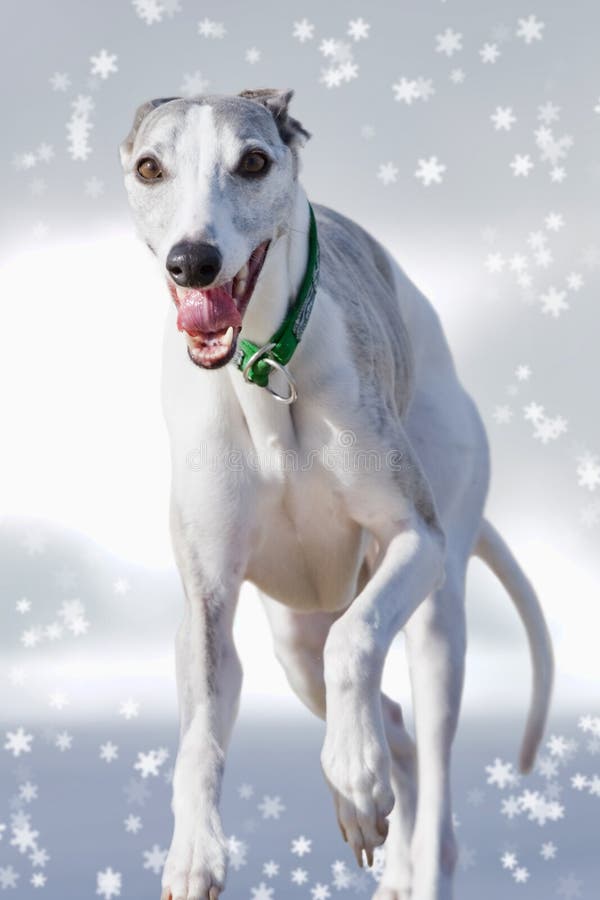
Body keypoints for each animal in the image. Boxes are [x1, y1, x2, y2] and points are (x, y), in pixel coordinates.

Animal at [119, 86, 556, 900]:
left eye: (253, 162)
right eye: (150, 167)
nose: (193, 262)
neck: (264, 371)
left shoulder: (417, 538)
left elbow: (355, 642)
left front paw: (353, 773)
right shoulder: (208, 602)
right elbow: (199, 737)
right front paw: (194, 852)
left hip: (438, 608)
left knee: (429, 766)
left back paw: (394, 821)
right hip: (294, 633)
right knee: (393, 728)